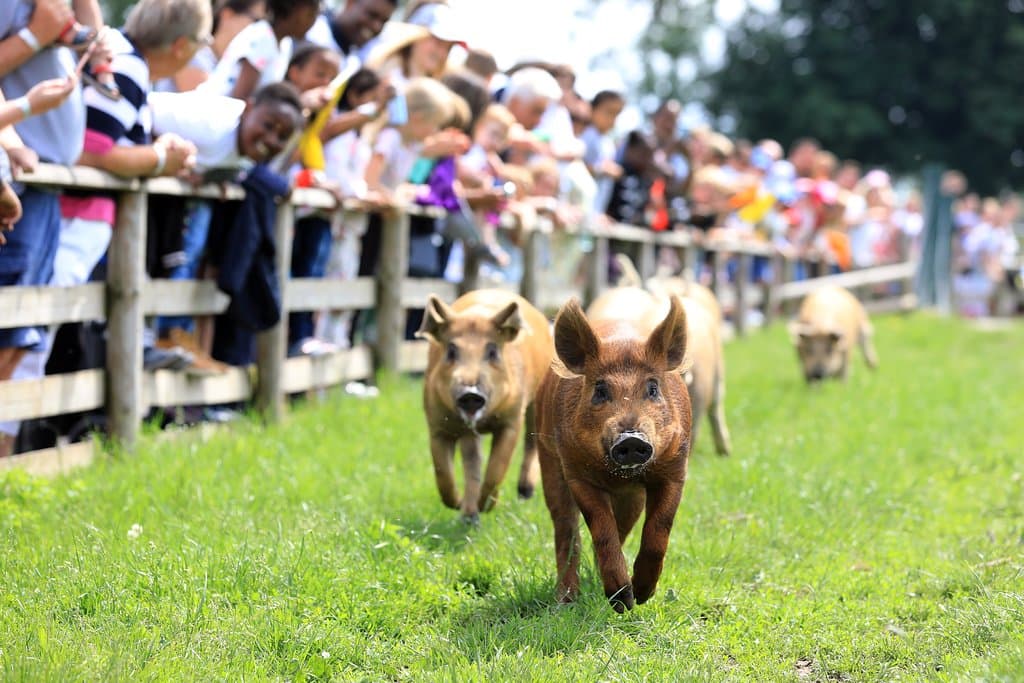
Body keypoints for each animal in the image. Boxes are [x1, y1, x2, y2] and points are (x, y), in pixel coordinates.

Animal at [417, 289, 554, 523]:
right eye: (451, 351)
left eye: (492, 352)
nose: (470, 393)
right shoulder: (437, 424)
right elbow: (444, 473)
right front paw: (459, 506)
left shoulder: (511, 420)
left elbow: (497, 468)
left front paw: (488, 508)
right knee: (472, 461)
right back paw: (469, 516)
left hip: (537, 399)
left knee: (532, 441)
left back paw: (524, 493)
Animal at [536, 291, 692, 612]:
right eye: (600, 390)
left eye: (653, 388)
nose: (630, 439)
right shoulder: (576, 473)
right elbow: (601, 528)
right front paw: (622, 603)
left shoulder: (675, 469)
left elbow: (659, 529)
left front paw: (642, 596)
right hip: (548, 462)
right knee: (566, 530)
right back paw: (566, 601)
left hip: (633, 499)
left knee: (622, 528)